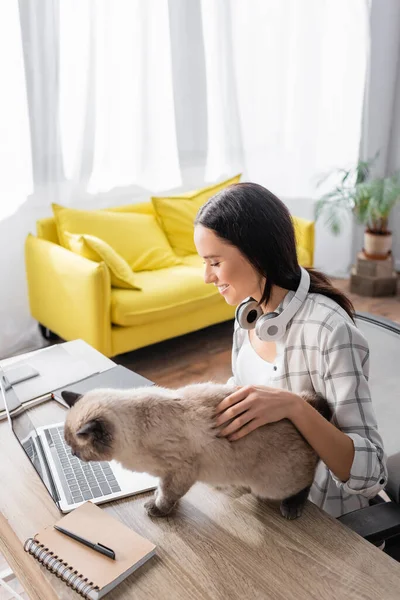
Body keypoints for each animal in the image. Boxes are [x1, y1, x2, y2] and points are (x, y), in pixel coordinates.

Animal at [62, 384, 330, 520]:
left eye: (75, 448)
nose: (72, 455)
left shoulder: (179, 470)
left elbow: (167, 494)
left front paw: (158, 509)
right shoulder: (167, 473)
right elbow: (162, 490)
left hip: (270, 485)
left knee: (305, 482)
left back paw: (292, 507)